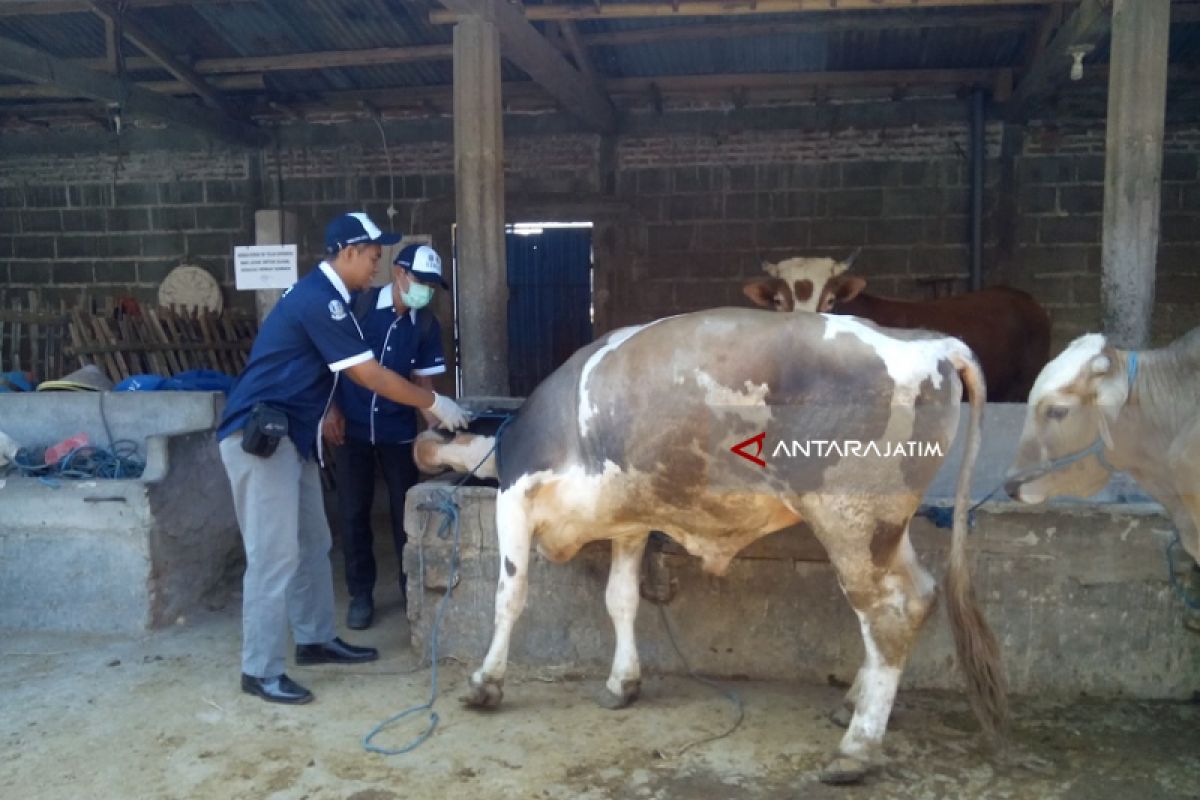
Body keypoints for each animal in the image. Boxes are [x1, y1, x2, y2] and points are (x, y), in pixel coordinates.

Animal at [417, 309, 1008, 786]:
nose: (421, 446)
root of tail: (930, 342)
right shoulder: (630, 521)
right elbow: (621, 601)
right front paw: (622, 683)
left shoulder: (514, 499)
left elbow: (508, 597)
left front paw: (485, 684)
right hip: (887, 528)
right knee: (920, 595)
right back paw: (853, 705)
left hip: (852, 520)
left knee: (887, 613)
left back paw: (856, 750)